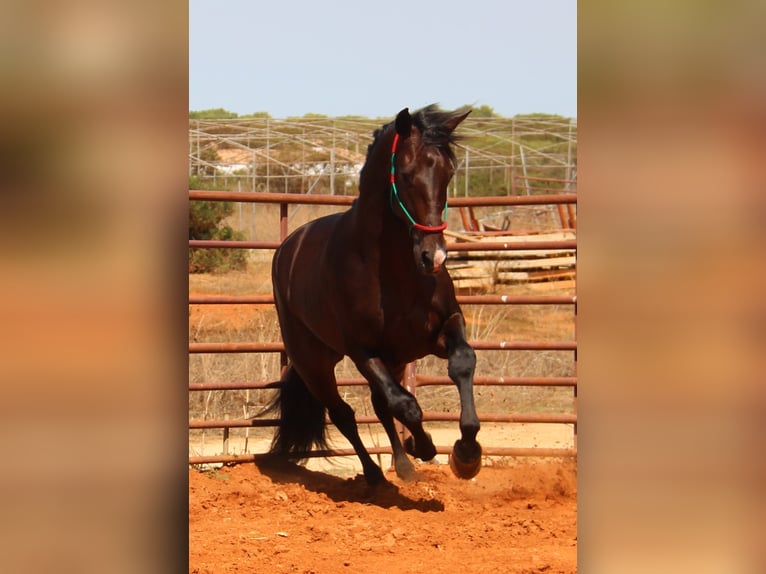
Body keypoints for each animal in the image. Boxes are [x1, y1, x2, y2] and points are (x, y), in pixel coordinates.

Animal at [270, 104, 484, 486]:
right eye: (407, 174)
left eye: (449, 173)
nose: (434, 257)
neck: (394, 273)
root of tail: (287, 249)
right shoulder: (364, 352)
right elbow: (406, 405)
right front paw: (425, 446)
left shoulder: (441, 329)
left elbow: (462, 363)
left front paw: (466, 454)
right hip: (314, 363)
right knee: (343, 413)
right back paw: (374, 474)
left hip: (390, 359)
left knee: (379, 405)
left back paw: (402, 464)